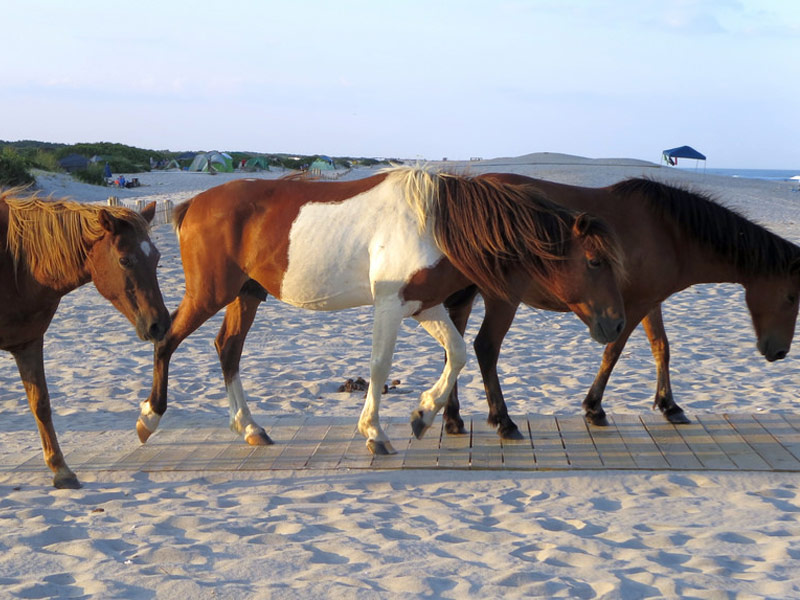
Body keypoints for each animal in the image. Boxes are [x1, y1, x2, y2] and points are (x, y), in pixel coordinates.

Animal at [1, 190, 170, 490]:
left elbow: (41, 404)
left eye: (156, 258)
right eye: (125, 260)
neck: (14, 265)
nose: (159, 324)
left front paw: (61, 469)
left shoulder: (28, 343)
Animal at [138, 166, 624, 452]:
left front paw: (423, 415)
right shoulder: (390, 305)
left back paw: (250, 428)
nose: (615, 323)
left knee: (228, 350)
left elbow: (457, 355)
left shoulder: (423, 306)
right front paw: (375, 431)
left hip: (246, 296)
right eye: (594, 261)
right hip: (210, 293)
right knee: (168, 340)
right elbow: (379, 365)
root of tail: (193, 204)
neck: (436, 221)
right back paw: (150, 418)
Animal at [444, 173, 800, 436]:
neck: (671, 233)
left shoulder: (652, 302)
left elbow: (661, 348)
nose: (780, 352)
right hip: (502, 298)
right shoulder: (633, 305)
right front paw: (594, 408)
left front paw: (670, 405)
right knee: (486, 348)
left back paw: (453, 417)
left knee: (454, 348)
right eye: (792, 296)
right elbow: (613, 351)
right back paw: (503, 421)